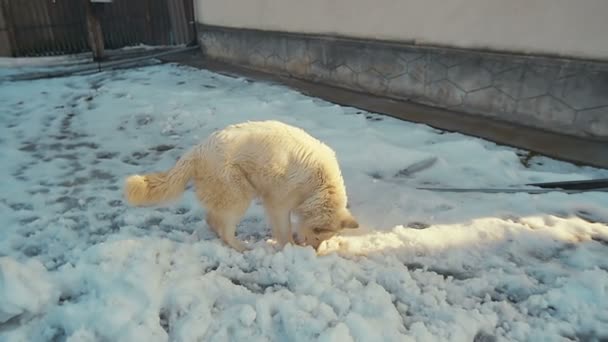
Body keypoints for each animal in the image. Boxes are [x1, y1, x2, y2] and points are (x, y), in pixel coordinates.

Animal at [125, 120, 358, 251]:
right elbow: (284, 230)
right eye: (317, 236)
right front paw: (289, 248)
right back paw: (241, 247)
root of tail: (197, 151)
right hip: (239, 195)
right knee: (225, 229)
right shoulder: (278, 203)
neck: (319, 186)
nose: (314, 251)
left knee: (213, 220)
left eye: (323, 239)